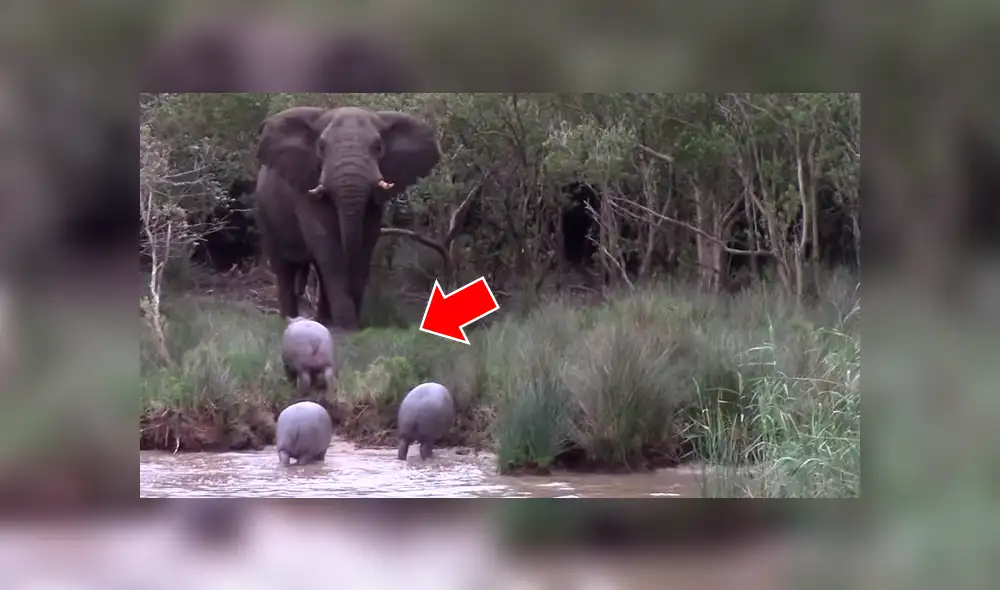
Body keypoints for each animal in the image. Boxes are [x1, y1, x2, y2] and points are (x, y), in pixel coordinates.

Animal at [255, 105, 441, 331]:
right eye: (321, 147)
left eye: (378, 147)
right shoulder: (307, 187)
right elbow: (328, 246)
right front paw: (347, 328)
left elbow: (365, 244)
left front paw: (349, 327)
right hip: (265, 214)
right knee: (284, 269)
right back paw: (290, 320)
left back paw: (322, 321)